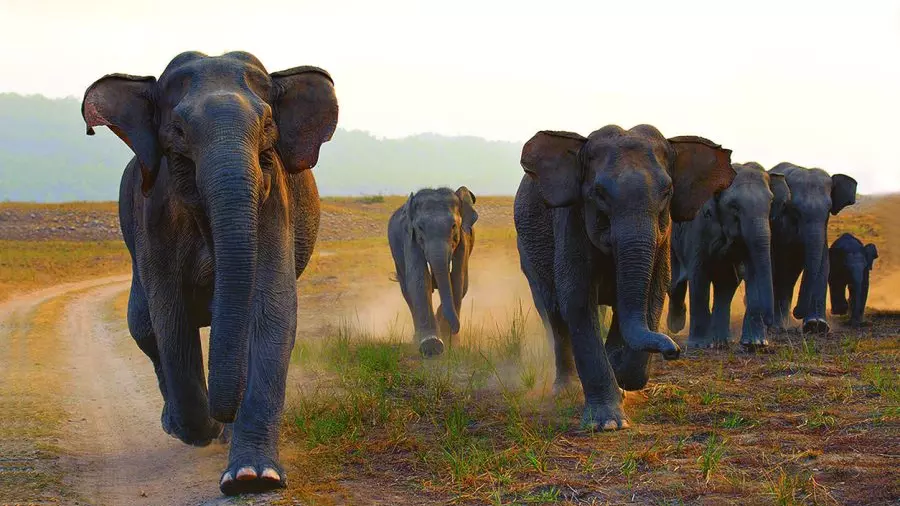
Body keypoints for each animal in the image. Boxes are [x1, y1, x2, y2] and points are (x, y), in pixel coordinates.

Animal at [81, 51, 338, 495]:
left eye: (267, 125)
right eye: (179, 130)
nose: (223, 418)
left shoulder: (274, 203)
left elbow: (270, 313)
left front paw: (251, 478)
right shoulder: (155, 215)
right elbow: (171, 321)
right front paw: (202, 431)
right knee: (144, 327)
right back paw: (178, 425)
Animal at [388, 187, 478, 357]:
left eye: (453, 226)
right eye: (420, 228)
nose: (455, 328)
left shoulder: (464, 239)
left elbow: (457, 279)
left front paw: (451, 343)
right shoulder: (410, 238)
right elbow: (419, 280)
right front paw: (432, 345)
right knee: (406, 291)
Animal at [514, 125, 736, 430]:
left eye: (667, 192)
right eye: (598, 193)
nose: (674, 350)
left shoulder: (663, 238)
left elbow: (653, 294)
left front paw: (620, 372)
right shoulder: (571, 220)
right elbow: (577, 302)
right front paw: (608, 423)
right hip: (528, 254)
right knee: (554, 315)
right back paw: (566, 389)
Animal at [667, 162, 790, 349]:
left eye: (770, 202)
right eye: (734, 206)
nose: (770, 323)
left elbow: (753, 271)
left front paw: (755, 344)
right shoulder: (698, 229)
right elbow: (699, 275)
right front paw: (699, 345)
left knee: (726, 284)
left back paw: (721, 341)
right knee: (677, 281)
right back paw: (677, 325)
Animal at [768, 163, 857, 334]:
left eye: (829, 210)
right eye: (794, 209)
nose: (797, 312)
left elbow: (824, 264)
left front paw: (816, 326)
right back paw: (778, 324)